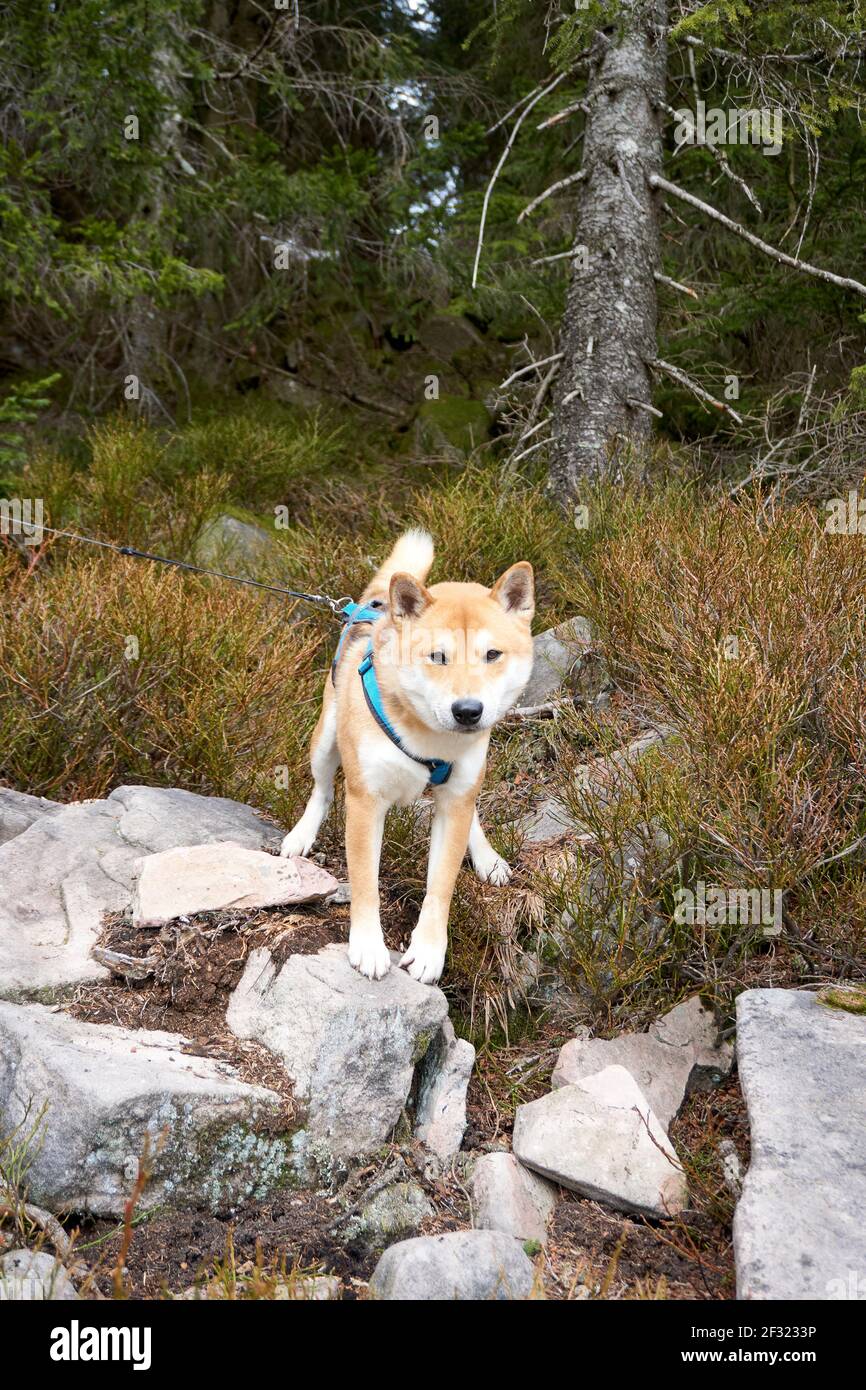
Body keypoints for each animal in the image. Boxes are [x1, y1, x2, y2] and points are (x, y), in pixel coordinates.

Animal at [280, 525, 536, 984]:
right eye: (438, 656)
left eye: (492, 654)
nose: (468, 711)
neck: (431, 740)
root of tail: (371, 609)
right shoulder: (366, 804)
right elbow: (365, 882)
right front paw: (368, 945)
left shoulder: (454, 802)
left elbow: (441, 886)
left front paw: (430, 950)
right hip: (325, 742)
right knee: (322, 790)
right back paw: (302, 833)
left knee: (472, 814)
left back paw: (486, 856)